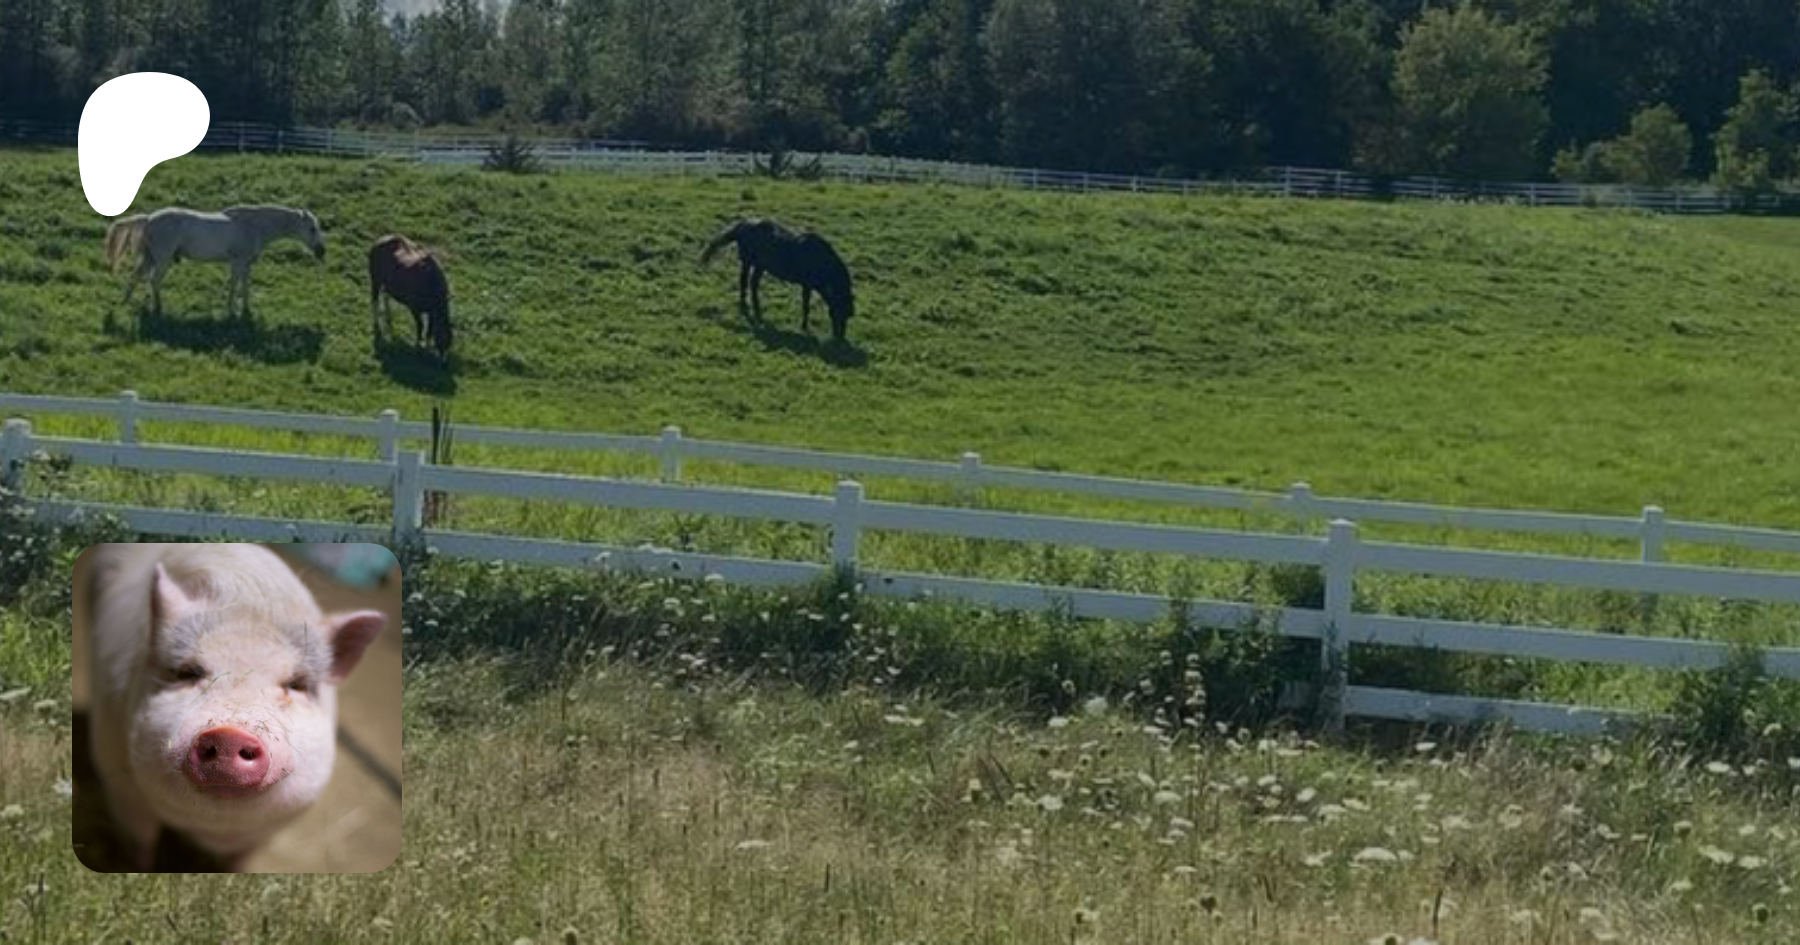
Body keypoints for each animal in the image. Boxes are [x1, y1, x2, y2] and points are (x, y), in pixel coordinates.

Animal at [103, 205, 326, 321]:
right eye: (312, 228)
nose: (322, 251)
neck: (253, 226)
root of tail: (149, 217)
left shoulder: (246, 264)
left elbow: (245, 286)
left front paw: (245, 310)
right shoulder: (237, 262)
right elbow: (234, 285)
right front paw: (231, 311)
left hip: (151, 258)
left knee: (138, 276)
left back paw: (128, 302)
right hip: (162, 259)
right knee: (154, 281)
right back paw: (158, 308)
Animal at [700, 218, 855, 343]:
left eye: (848, 316)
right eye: (839, 312)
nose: (840, 338)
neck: (821, 261)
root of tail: (743, 225)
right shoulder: (807, 285)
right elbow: (806, 306)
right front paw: (804, 327)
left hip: (760, 265)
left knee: (753, 284)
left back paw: (757, 311)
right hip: (747, 261)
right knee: (744, 281)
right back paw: (745, 306)